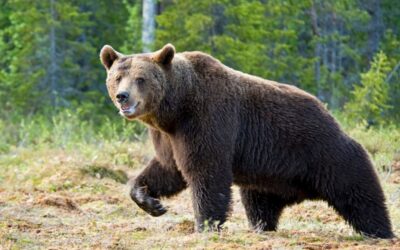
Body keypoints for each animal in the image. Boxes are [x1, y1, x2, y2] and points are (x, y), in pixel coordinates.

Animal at [99, 43, 394, 238]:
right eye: (117, 77)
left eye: (141, 78)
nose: (123, 96)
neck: (175, 108)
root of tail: (329, 114)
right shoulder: (168, 136)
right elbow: (167, 169)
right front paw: (151, 201)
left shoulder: (207, 119)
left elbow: (206, 172)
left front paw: (204, 226)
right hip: (269, 176)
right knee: (259, 205)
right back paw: (261, 228)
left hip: (324, 151)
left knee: (359, 192)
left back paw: (380, 232)